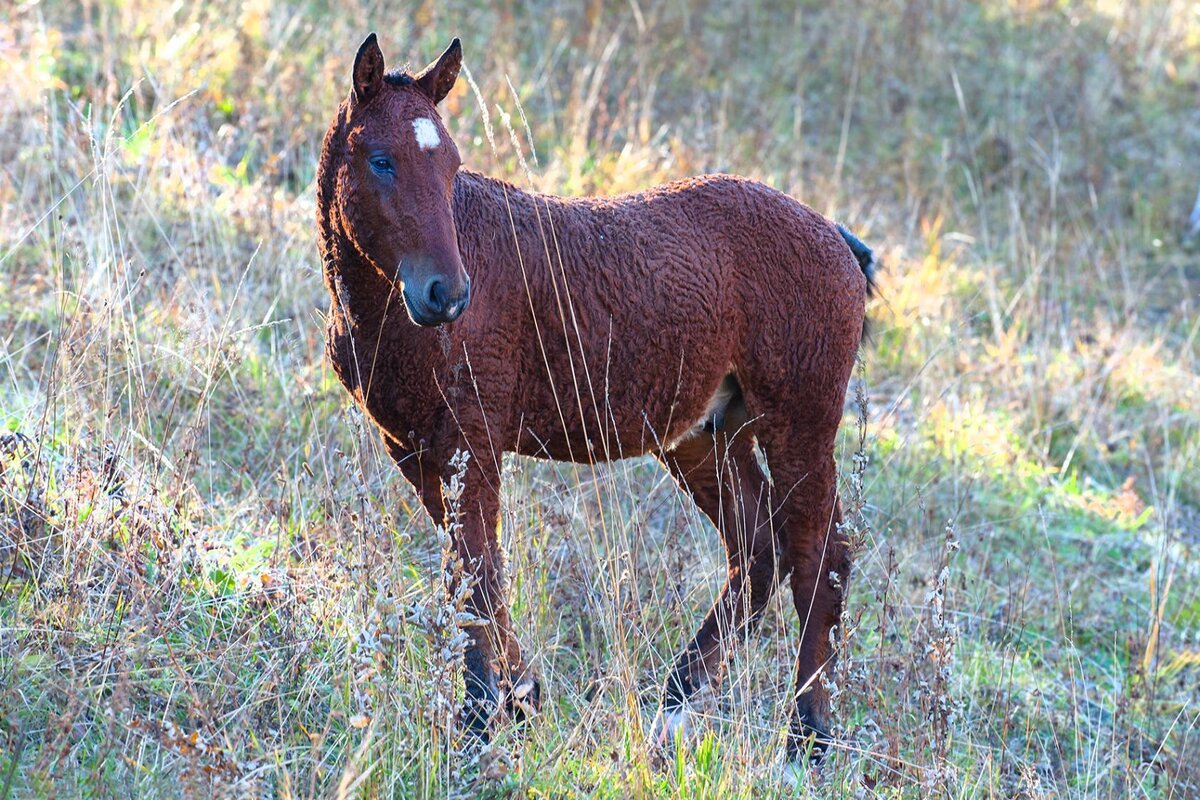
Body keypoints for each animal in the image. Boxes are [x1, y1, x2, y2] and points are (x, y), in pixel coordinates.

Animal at [319, 34, 878, 762]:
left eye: (452, 166)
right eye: (381, 160)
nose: (446, 294)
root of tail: (837, 238)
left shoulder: (471, 442)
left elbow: (477, 572)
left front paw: (481, 720)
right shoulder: (413, 448)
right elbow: (472, 574)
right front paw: (519, 699)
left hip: (798, 421)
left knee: (821, 555)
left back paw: (806, 738)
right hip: (706, 432)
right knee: (760, 549)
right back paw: (676, 705)